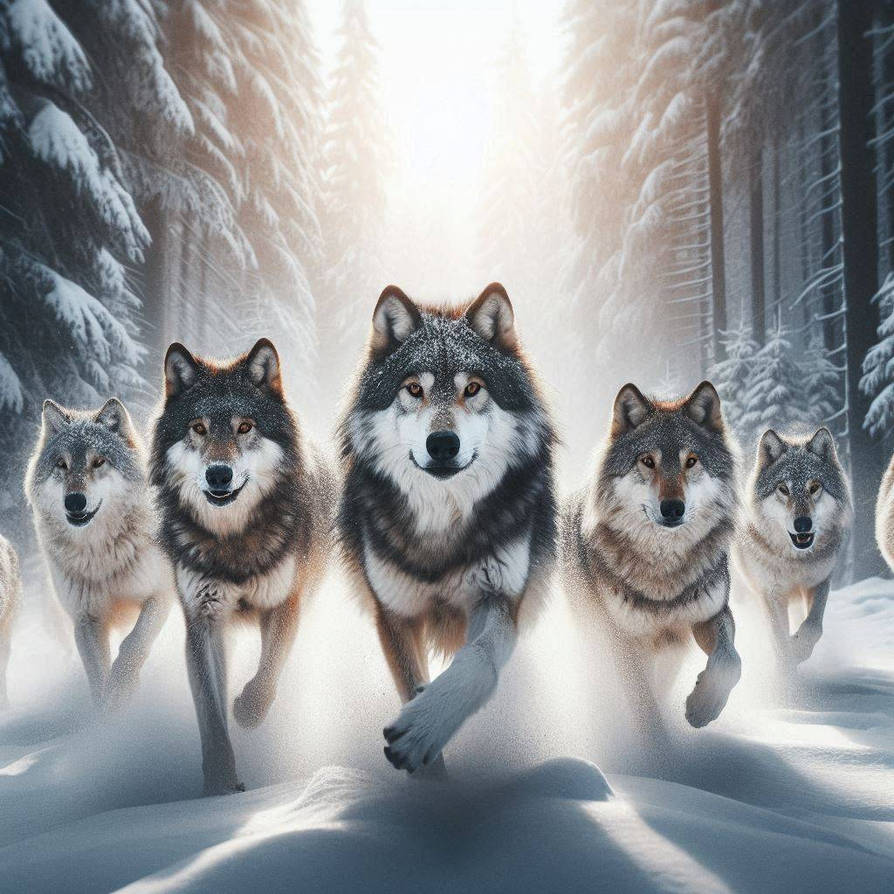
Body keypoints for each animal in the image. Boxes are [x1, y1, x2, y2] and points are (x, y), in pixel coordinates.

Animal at [25, 398, 173, 707]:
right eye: (62, 464)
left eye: (98, 461)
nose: (74, 501)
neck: (101, 556)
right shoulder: (86, 619)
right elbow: (96, 675)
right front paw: (105, 712)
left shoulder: (161, 594)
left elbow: (133, 643)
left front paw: (122, 688)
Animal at [150, 339, 333, 795]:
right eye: (198, 428)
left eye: (245, 427)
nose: (219, 474)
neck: (232, 540)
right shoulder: (202, 622)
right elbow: (211, 718)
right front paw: (218, 782)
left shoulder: (285, 603)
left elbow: (268, 672)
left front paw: (247, 711)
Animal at [338, 283, 557, 774]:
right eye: (414, 389)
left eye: (472, 388)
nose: (441, 444)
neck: (441, 523)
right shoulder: (395, 615)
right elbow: (411, 685)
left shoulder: (500, 598)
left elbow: (478, 662)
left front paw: (423, 727)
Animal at [563, 381, 741, 729]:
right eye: (647, 461)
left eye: (691, 461)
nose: (672, 508)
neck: (664, 574)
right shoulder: (624, 643)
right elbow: (645, 710)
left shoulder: (711, 614)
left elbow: (730, 663)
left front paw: (703, 706)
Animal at [735, 428, 851, 666]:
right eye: (783, 489)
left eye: (814, 487)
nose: (803, 524)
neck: (795, 561)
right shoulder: (770, 594)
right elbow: (779, 643)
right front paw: (787, 669)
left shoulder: (820, 581)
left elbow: (814, 626)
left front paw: (799, 649)